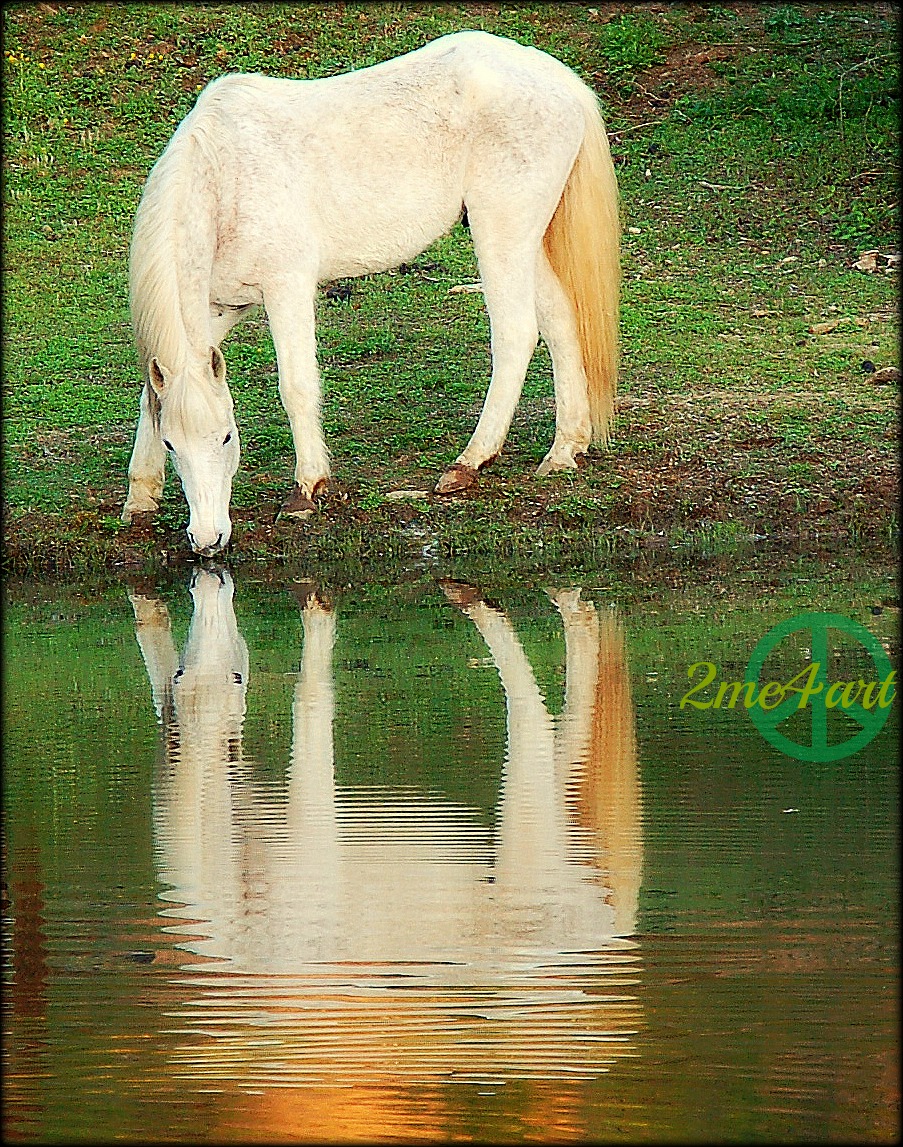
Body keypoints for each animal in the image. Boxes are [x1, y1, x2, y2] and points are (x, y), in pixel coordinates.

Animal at [123, 30, 620, 555]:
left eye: (226, 438)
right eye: (173, 444)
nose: (207, 539)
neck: (223, 176)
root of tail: (564, 82)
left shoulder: (286, 290)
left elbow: (296, 385)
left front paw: (307, 488)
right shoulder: (218, 310)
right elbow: (150, 397)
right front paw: (140, 496)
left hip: (500, 234)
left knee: (516, 334)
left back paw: (470, 461)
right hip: (525, 241)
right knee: (560, 323)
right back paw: (565, 448)